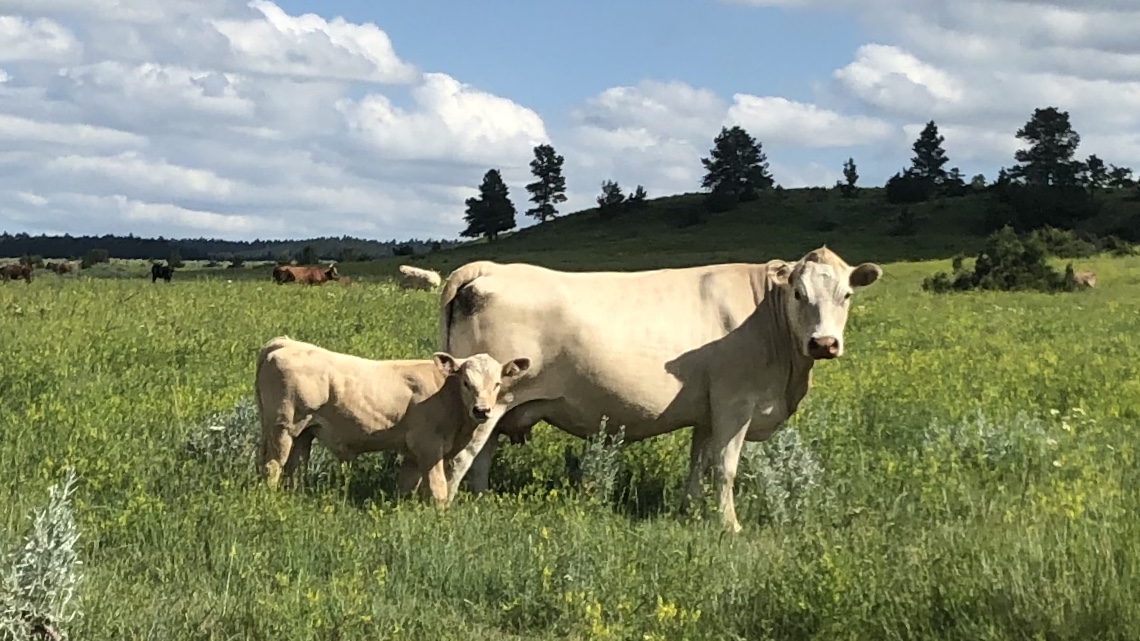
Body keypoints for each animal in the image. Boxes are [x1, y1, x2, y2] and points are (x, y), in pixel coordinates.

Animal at [254, 335, 528, 504]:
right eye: (466, 382)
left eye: (497, 384)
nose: (482, 410)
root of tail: (285, 343)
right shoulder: (428, 447)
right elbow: (438, 489)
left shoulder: (412, 454)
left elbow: (406, 487)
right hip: (283, 427)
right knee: (273, 466)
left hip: (303, 432)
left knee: (294, 469)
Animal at [433, 244, 880, 529]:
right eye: (799, 293)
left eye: (847, 294)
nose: (824, 343)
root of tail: (491, 267)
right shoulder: (735, 402)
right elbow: (726, 467)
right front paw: (730, 526)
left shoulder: (708, 410)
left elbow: (699, 463)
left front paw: (691, 510)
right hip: (487, 402)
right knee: (462, 458)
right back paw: (447, 510)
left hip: (494, 408)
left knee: (481, 457)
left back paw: (480, 500)